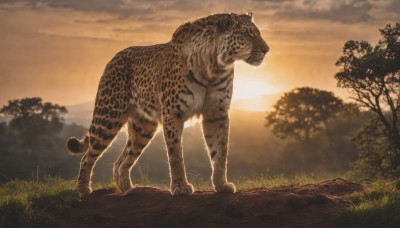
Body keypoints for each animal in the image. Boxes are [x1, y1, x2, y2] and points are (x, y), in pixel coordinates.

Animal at [67, 12, 270, 196]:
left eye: (258, 33)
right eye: (247, 34)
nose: (266, 49)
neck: (215, 66)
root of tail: (113, 57)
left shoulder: (217, 113)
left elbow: (220, 151)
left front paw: (221, 185)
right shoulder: (173, 113)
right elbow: (175, 153)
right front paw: (180, 187)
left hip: (144, 126)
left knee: (121, 161)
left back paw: (128, 190)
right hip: (108, 116)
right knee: (87, 156)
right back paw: (83, 190)